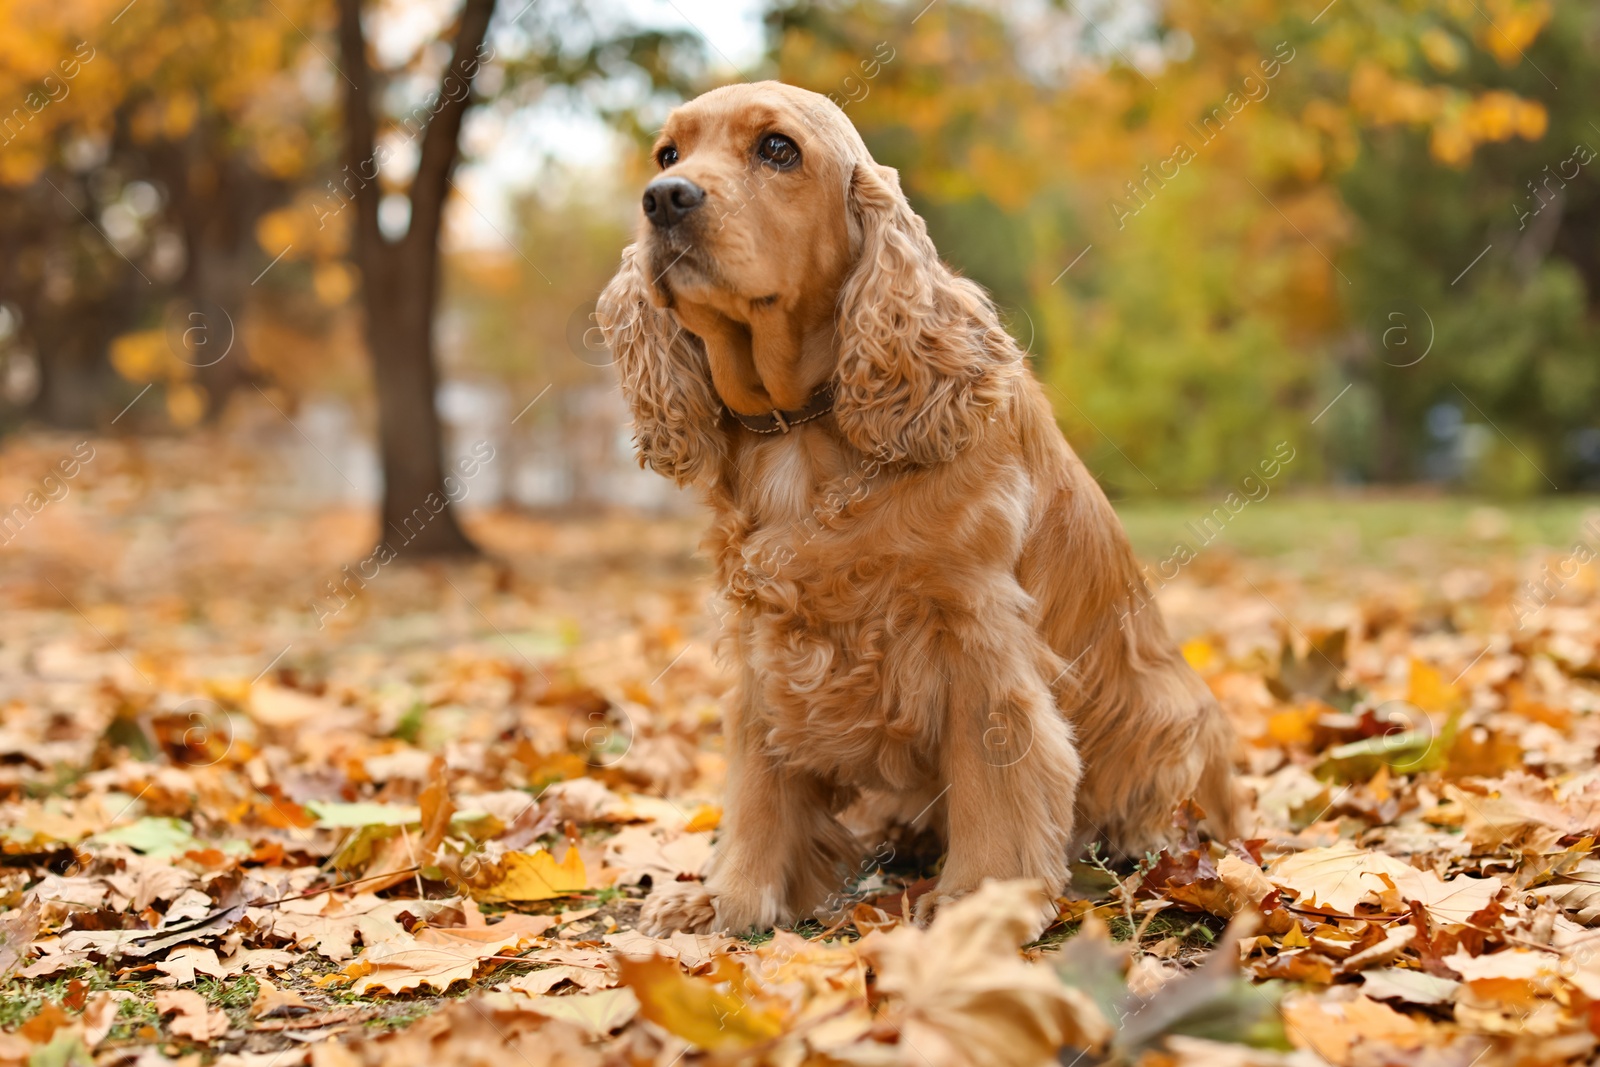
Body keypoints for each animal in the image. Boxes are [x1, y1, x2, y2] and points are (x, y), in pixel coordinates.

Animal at [595, 83, 1228, 934]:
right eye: (668, 152)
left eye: (778, 150)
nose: (664, 197)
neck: (805, 432)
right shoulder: (764, 640)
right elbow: (759, 780)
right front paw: (730, 898)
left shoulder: (976, 630)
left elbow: (996, 769)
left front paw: (980, 898)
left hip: (1172, 709)